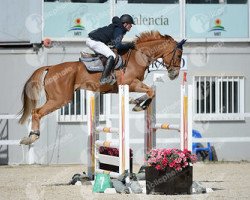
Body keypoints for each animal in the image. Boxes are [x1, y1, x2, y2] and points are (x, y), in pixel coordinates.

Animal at [18, 30, 186, 145]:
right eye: (178, 55)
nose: (175, 74)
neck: (138, 56)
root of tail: (51, 67)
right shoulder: (131, 83)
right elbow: (151, 91)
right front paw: (138, 105)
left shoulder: (131, 85)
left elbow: (150, 92)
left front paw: (136, 102)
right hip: (60, 99)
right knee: (37, 112)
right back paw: (32, 137)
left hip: (56, 98)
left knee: (35, 111)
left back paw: (30, 137)